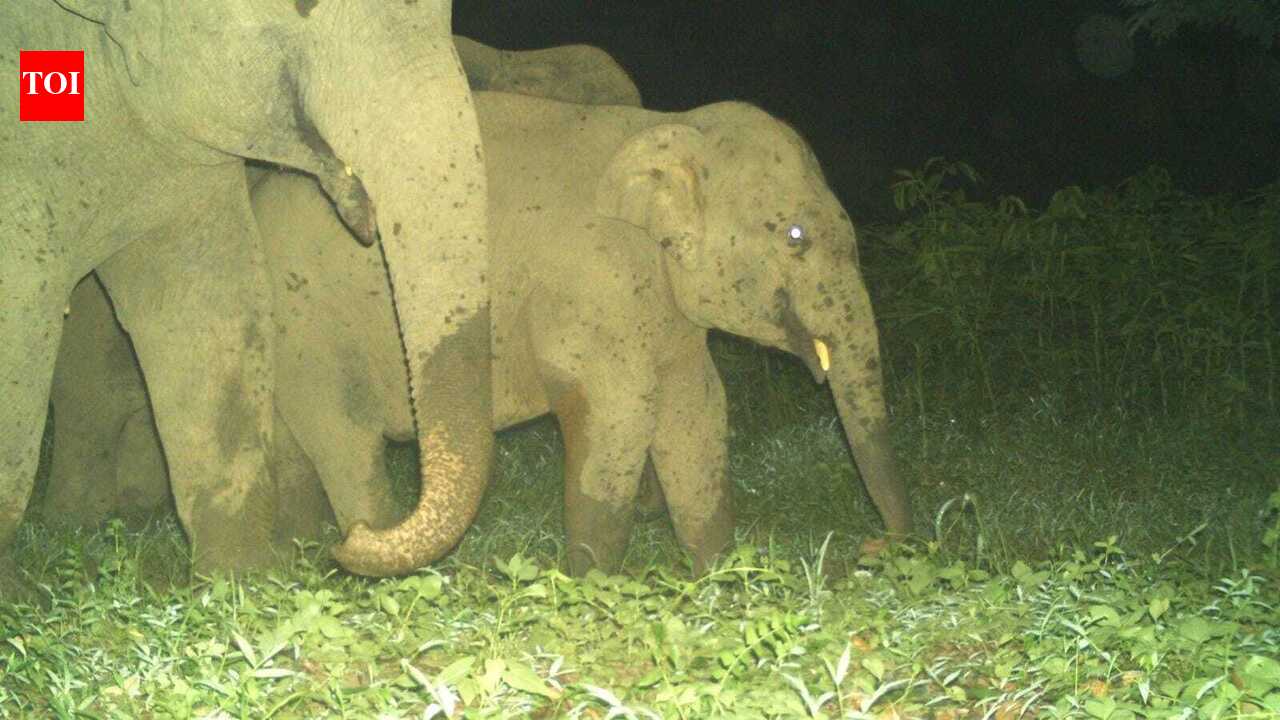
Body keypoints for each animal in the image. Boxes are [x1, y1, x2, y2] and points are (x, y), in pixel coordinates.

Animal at [51, 90, 913, 576]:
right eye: (797, 236)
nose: (890, 547)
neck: (667, 130)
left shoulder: (659, 304)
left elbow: (698, 408)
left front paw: (715, 575)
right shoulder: (591, 279)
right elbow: (621, 413)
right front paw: (593, 584)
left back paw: (309, 554)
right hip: (310, 325)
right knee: (344, 436)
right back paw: (354, 546)